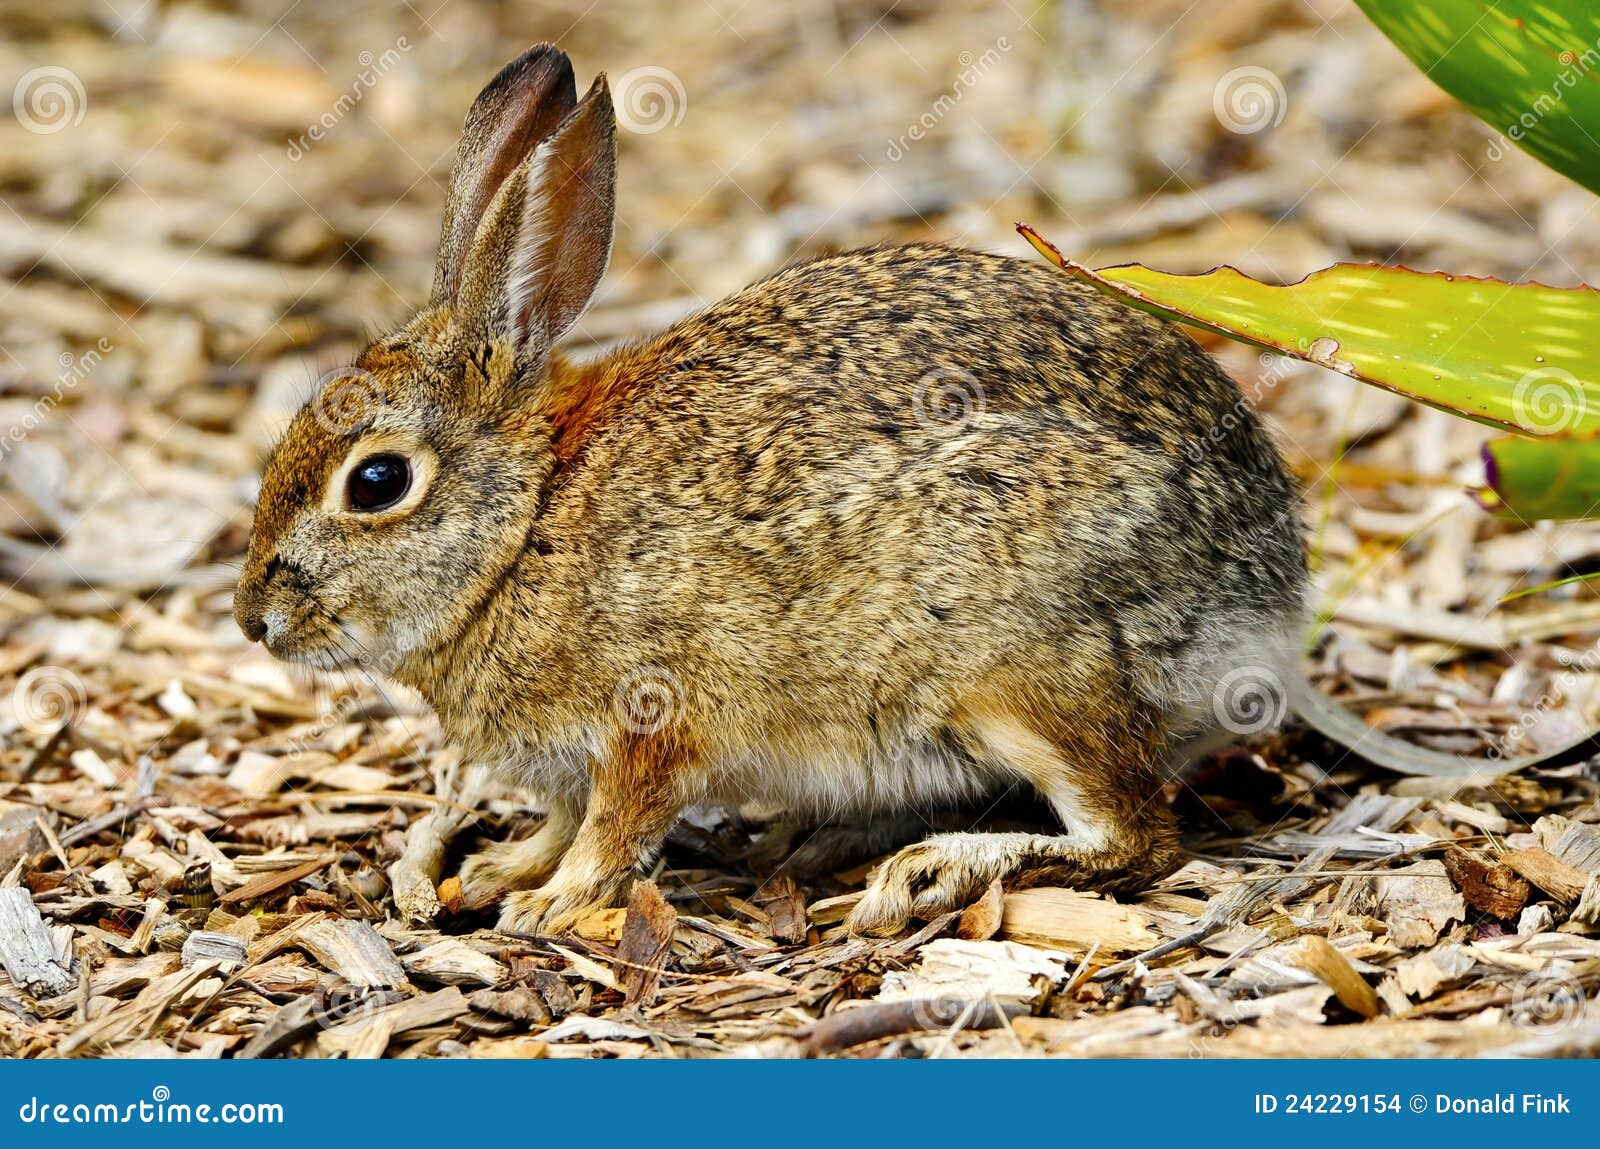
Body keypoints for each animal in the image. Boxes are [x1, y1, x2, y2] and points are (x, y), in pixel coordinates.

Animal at [235, 44, 1571, 939]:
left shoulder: (654, 720)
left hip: (1021, 666)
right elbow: (563, 819)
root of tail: (1269, 615)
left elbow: (616, 829)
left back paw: (935, 869)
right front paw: (504, 873)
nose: (255, 619)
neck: (522, 529)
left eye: (375, 482)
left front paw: (552, 909)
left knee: (1133, 836)